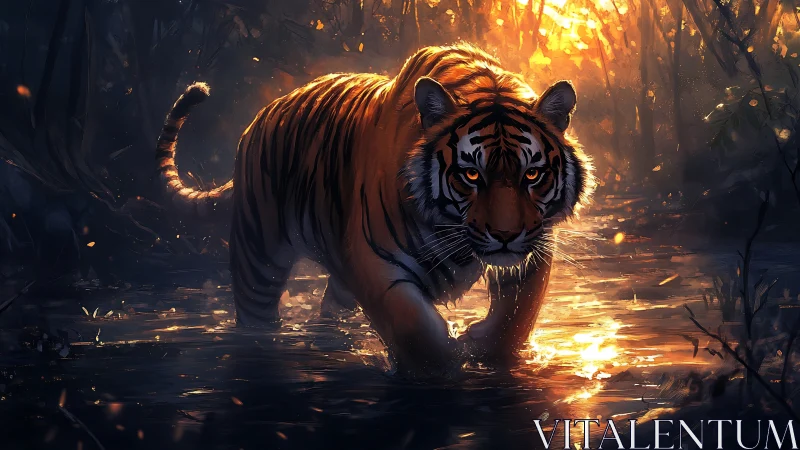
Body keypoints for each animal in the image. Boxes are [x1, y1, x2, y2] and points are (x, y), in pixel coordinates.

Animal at [154, 43, 593, 377]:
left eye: (532, 174)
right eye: (471, 174)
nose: (505, 237)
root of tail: (259, 118)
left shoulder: (534, 249)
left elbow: (515, 317)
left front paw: (483, 347)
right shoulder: (374, 261)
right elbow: (413, 327)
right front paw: (445, 364)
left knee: (328, 311)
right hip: (257, 258)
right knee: (256, 322)